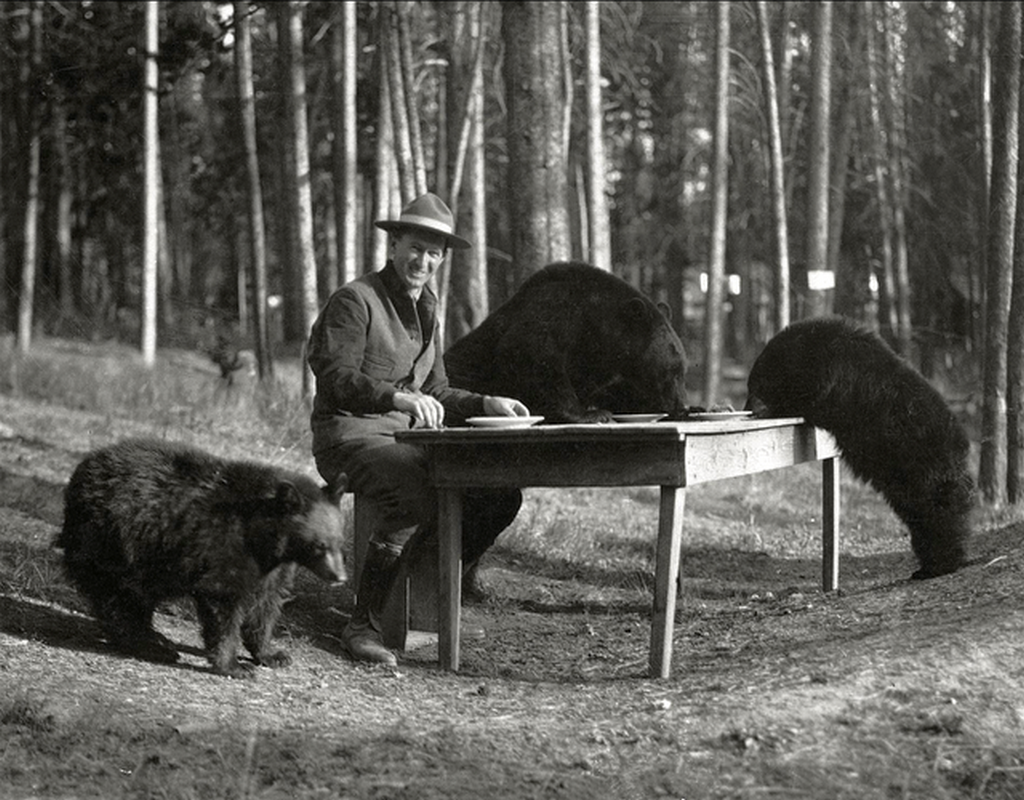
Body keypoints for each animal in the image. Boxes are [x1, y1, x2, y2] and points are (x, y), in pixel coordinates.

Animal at [57, 440, 352, 676]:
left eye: (340, 543)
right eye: (320, 545)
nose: (340, 577)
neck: (266, 537)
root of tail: (80, 473)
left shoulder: (274, 567)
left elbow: (265, 606)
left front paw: (272, 655)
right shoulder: (225, 545)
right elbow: (224, 600)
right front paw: (234, 666)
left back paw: (157, 638)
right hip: (121, 543)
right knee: (122, 599)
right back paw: (152, 646)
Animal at [442, 262, 688, 424]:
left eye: (682, 370)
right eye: (672, 371)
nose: (682, 406)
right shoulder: (558, 308)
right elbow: (530, 352)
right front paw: (592, 414)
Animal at [745, 315, 974, 577]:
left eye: (758, 385)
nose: (749, 408)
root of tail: (961, 446)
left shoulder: (833, 376)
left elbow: (809, 399)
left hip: (924, 469)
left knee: (939, 515)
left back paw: (942, 564)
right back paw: (929, 564)